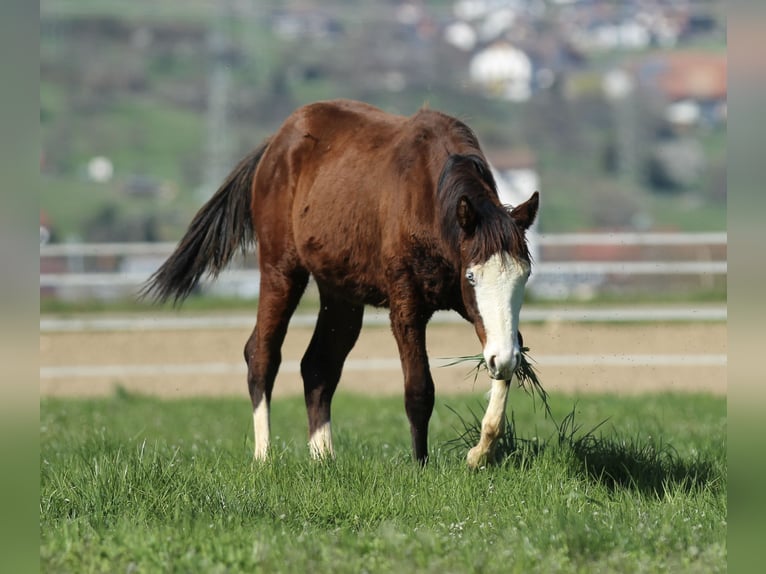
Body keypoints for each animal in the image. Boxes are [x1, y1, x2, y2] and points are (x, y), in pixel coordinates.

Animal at [142, 99, 539, 467]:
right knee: (261, 354)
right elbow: (419, 389)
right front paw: (421, 465)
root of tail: (276, 143)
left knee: (318, 365)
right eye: (472, 276)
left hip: (340, 294)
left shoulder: (479, 316)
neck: (427, 195)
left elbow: (507, 363)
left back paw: (323, 457)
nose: (501, 356)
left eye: (524, 275)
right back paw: (264, 456)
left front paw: (479, 453)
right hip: (281, 272)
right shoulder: (407, 307)